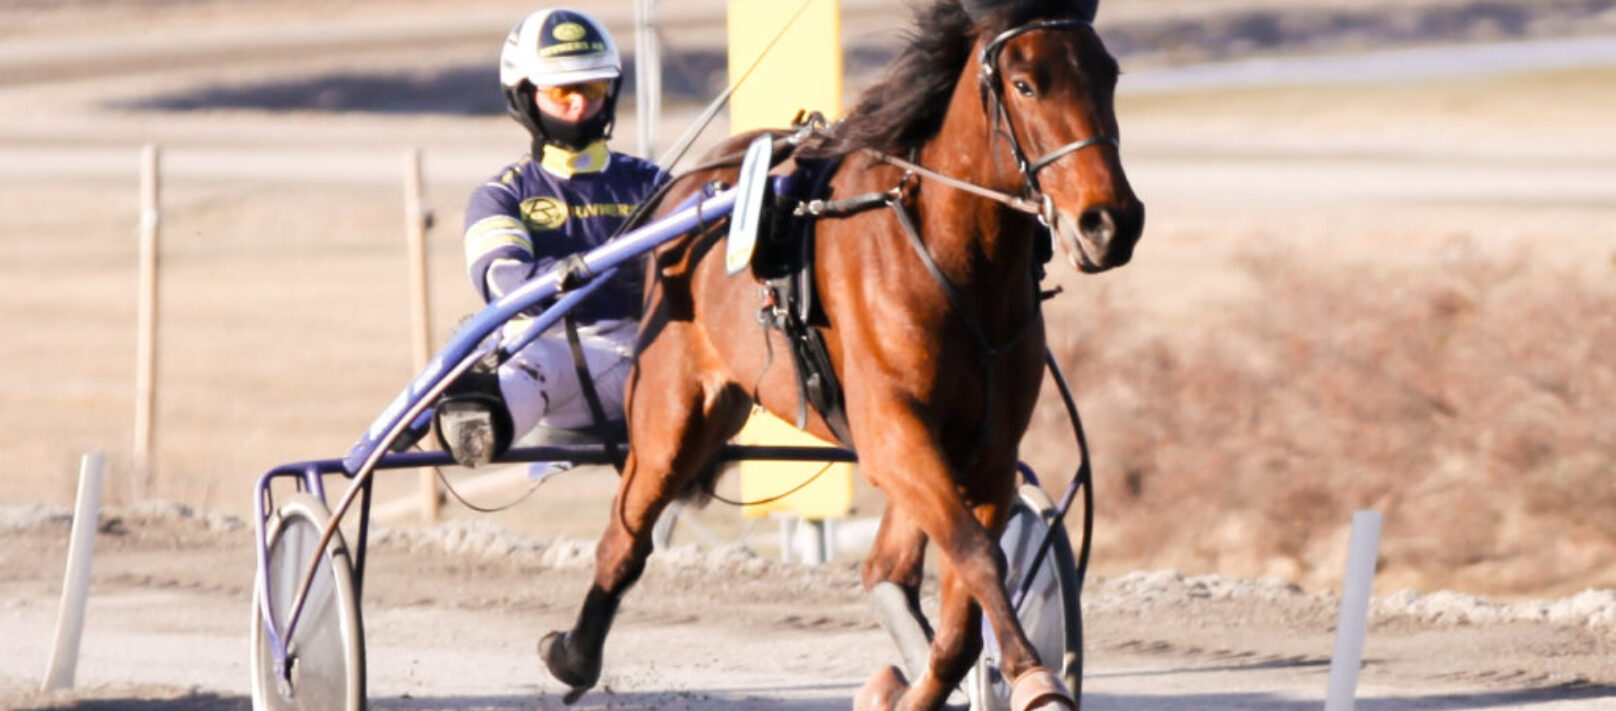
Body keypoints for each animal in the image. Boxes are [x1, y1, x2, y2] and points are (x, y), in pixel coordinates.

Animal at [539, 1, 1137, 711]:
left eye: (1109, 74)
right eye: (1025, 85)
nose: (1111, 222)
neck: (953, 260)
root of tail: (687, 184)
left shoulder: (985, 449)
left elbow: (962, 606)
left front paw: (922, 686)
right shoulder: (892, 429)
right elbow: (977, 555)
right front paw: (1033, 677)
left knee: (886, 568)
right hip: (674, 407)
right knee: (626, 533)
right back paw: (574, 654)